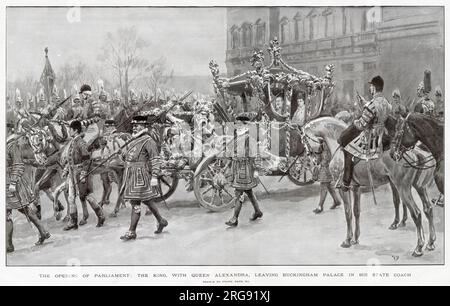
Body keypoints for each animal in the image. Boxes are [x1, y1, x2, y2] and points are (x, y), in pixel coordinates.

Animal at [302, 116, 436, 256]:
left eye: (304, 140)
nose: (313, 160)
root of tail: (415, 152)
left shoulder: (344, 189)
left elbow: (348, 213)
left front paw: (347, 240)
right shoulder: (356, 188)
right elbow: (356, 211)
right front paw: (355, 238)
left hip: (402, 187)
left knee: (416, 213)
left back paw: (419, 247)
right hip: (418, 187)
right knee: (428, 209)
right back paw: (430, 243)